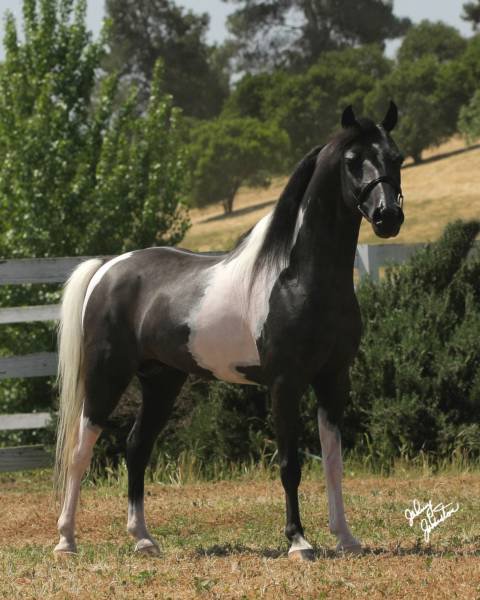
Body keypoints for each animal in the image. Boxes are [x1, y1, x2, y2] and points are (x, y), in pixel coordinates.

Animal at [53, 102, 404, 556]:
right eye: (352, 160)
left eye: (395, 157)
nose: (388, 217)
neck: (297, 279)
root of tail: (108, 267)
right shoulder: (284, 383)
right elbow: (290, 464)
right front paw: (298, 541)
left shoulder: (333, 379)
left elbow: (333, 462)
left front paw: (345, 537)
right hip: (105, 375)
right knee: (81, 449)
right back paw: (66, 540)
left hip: (162, 380)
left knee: (136, 447)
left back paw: (144, 539)